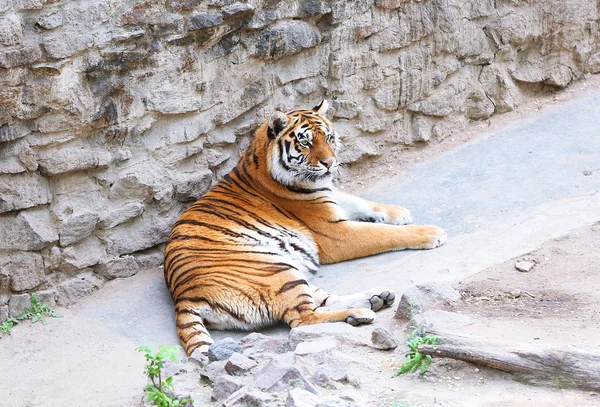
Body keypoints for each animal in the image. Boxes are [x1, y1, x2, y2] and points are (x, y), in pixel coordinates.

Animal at [164, 101, 446, 356]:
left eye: (329, 137)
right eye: (305, 143)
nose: (330, 163)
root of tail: (184, 298)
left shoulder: (328, 196)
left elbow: (360, 202)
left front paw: (400, 212)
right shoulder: (335, 233)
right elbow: (384, 234)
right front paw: (431, 233)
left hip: (287, 270)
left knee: (322, 302)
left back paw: (376, 298)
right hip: (274, 270)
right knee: (303, 320)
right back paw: (360, 313)